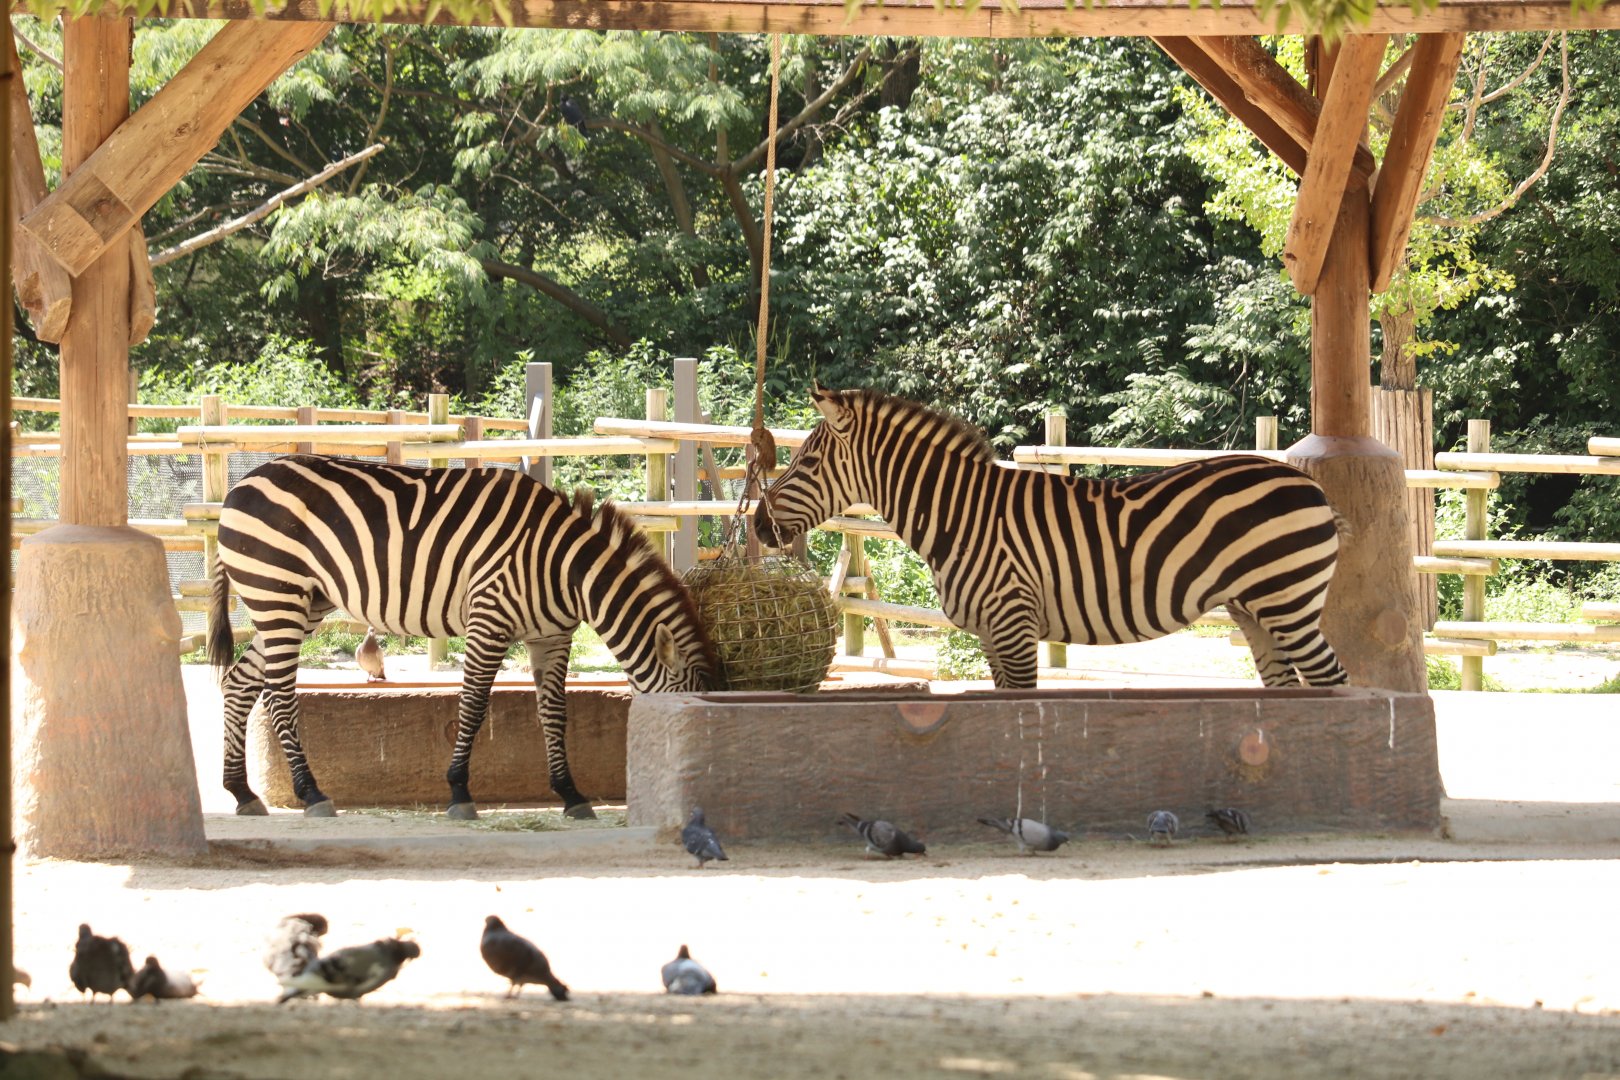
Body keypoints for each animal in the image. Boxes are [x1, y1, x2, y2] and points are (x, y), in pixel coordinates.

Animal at [209, 454, 719, 819]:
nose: (692, 795)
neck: (565, 569)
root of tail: (241, 484)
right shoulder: (488, 619)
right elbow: (472, 706)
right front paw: (459, 791)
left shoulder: (552, 637)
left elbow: (555, 715)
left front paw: (572, 795)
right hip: (277, 594)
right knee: (278, 695)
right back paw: (311, 793)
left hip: (301, 603)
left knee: (238, 683)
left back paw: (240, 792)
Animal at [754, 387, 1349, 689]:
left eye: (806, 463)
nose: (758, 525)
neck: (961, 515)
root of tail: (1309, 485)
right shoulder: (991, 635)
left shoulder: (1013, 625)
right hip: (1256, 611)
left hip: (1287, 602)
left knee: (1331, 679)